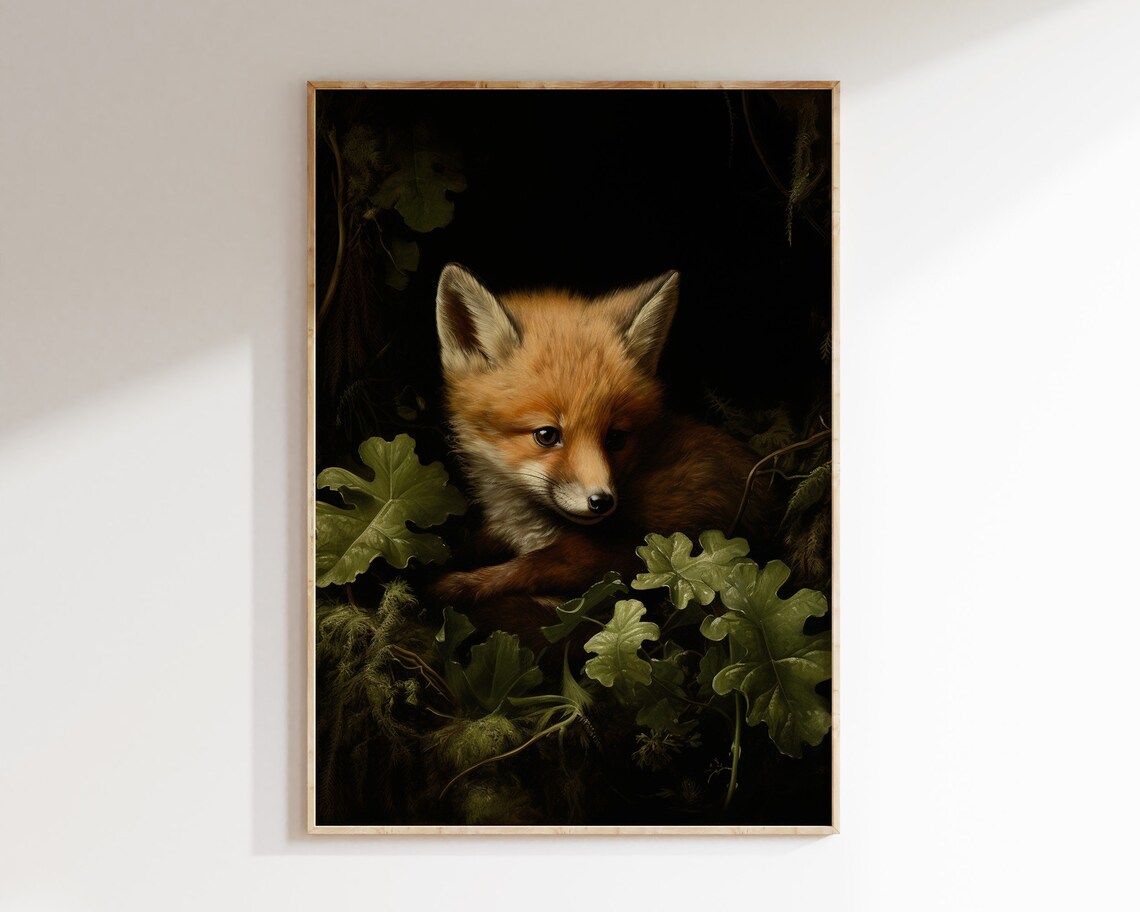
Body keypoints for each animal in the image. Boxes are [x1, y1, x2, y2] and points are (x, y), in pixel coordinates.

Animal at [430, 263, 774, 627]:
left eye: (615, 438)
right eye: (546, 435)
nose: (601, 502)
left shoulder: (642, 548)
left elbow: (527, 569)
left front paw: (461, 585)